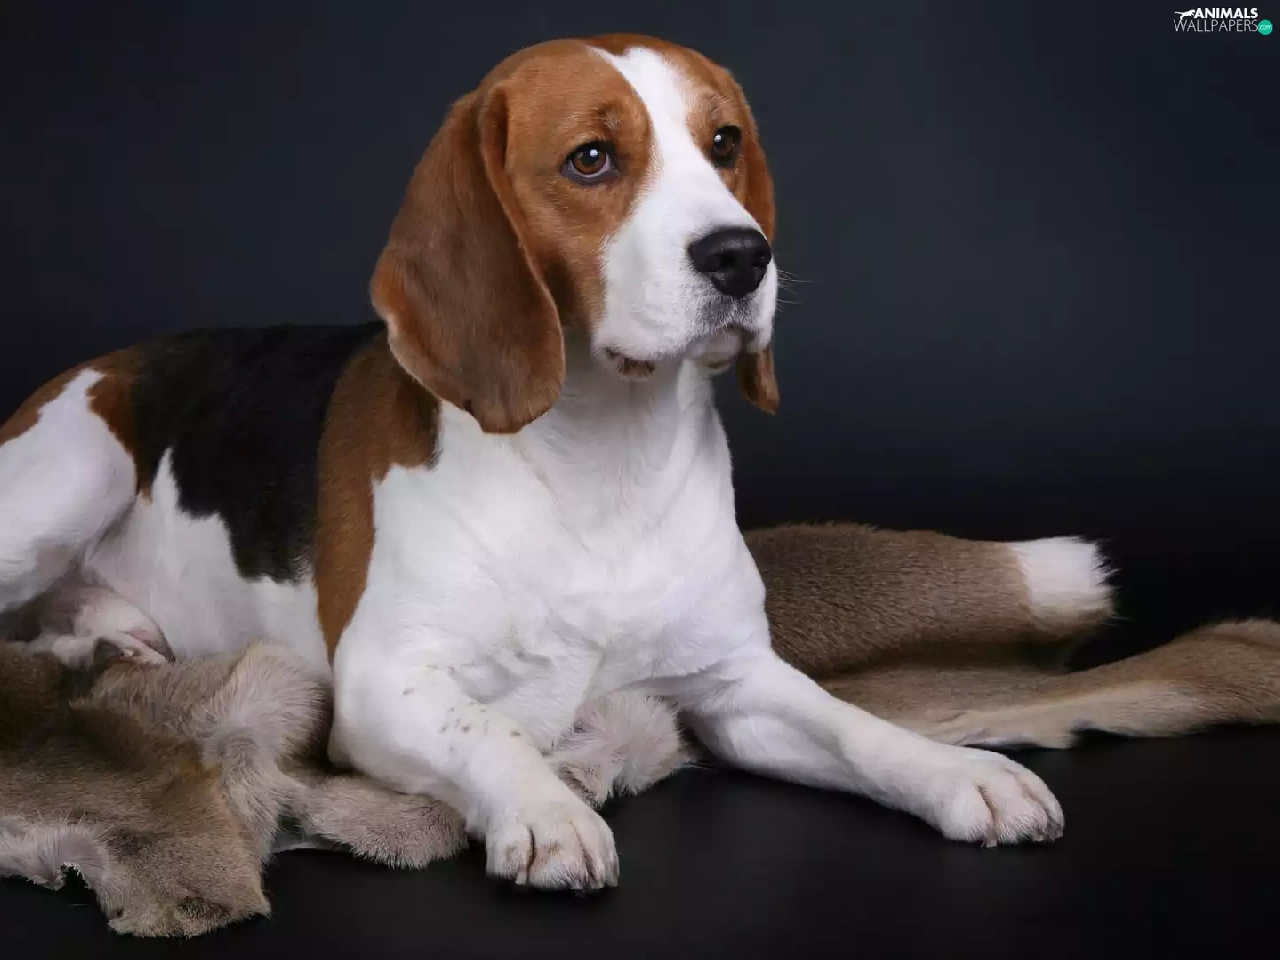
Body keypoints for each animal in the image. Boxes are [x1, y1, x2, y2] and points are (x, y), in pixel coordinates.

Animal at [0, 35, 1093, 891]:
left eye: (724, 144)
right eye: (592, 159)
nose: (742, 256)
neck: (601, 463)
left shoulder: (735, 685)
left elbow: (852, 724)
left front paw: (956, 770)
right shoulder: (382, 687)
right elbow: (493, 731)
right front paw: (549, 809)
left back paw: (111, 638)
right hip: (78, 466)